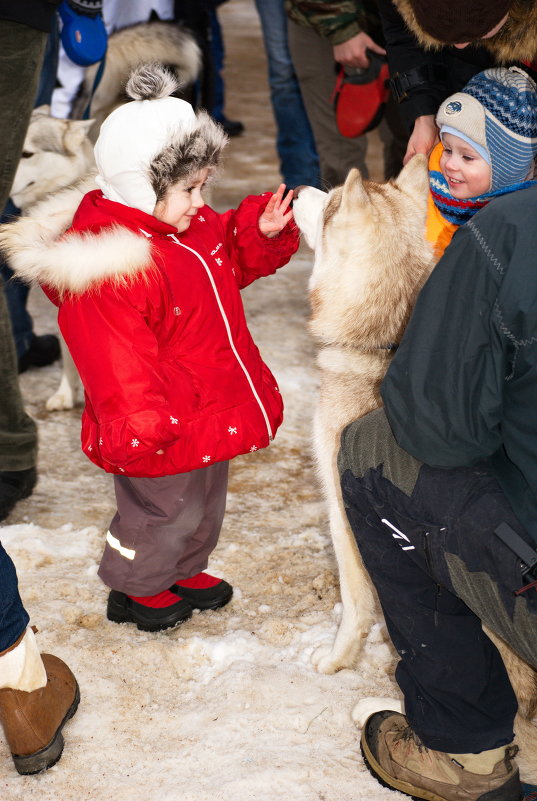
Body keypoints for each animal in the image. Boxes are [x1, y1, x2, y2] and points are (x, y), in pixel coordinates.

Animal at [292, 158, 536, 780]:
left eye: (329, 204)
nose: (298, 187)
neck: (385, 338)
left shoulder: (343, 513)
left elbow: (356, 605)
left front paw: (337, 661)